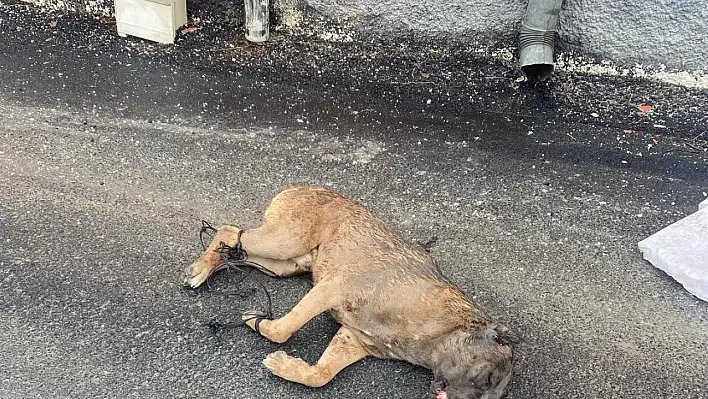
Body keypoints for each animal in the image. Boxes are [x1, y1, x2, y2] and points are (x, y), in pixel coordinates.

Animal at [183, 186, 520, 398]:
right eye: (488, 378)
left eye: (497, 395)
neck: (440, 331)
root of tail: (307, 185)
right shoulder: (331, 289)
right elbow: (283, 330)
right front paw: (260, 323)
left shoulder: (352, 339)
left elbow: (320, 375)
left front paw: (289, 365)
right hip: (284, 242)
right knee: (229, 231)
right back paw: (201, 269)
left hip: (285, 264)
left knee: (235, 249)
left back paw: (211, 266)